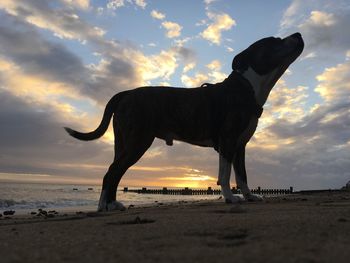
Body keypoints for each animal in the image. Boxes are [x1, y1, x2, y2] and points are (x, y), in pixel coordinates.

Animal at [65, 32, 304, 212]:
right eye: (274, 41)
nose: (298, 34)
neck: (247, 87)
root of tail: (126, 93)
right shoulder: (228, 142)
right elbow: (225, 174)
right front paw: (230, 197)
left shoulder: (240, 146)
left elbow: (242, 174)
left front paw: (249, 196)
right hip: (137, 142)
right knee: (111, 172)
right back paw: (103, 206)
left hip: (124, 143)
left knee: (115, 172)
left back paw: (112, 204)